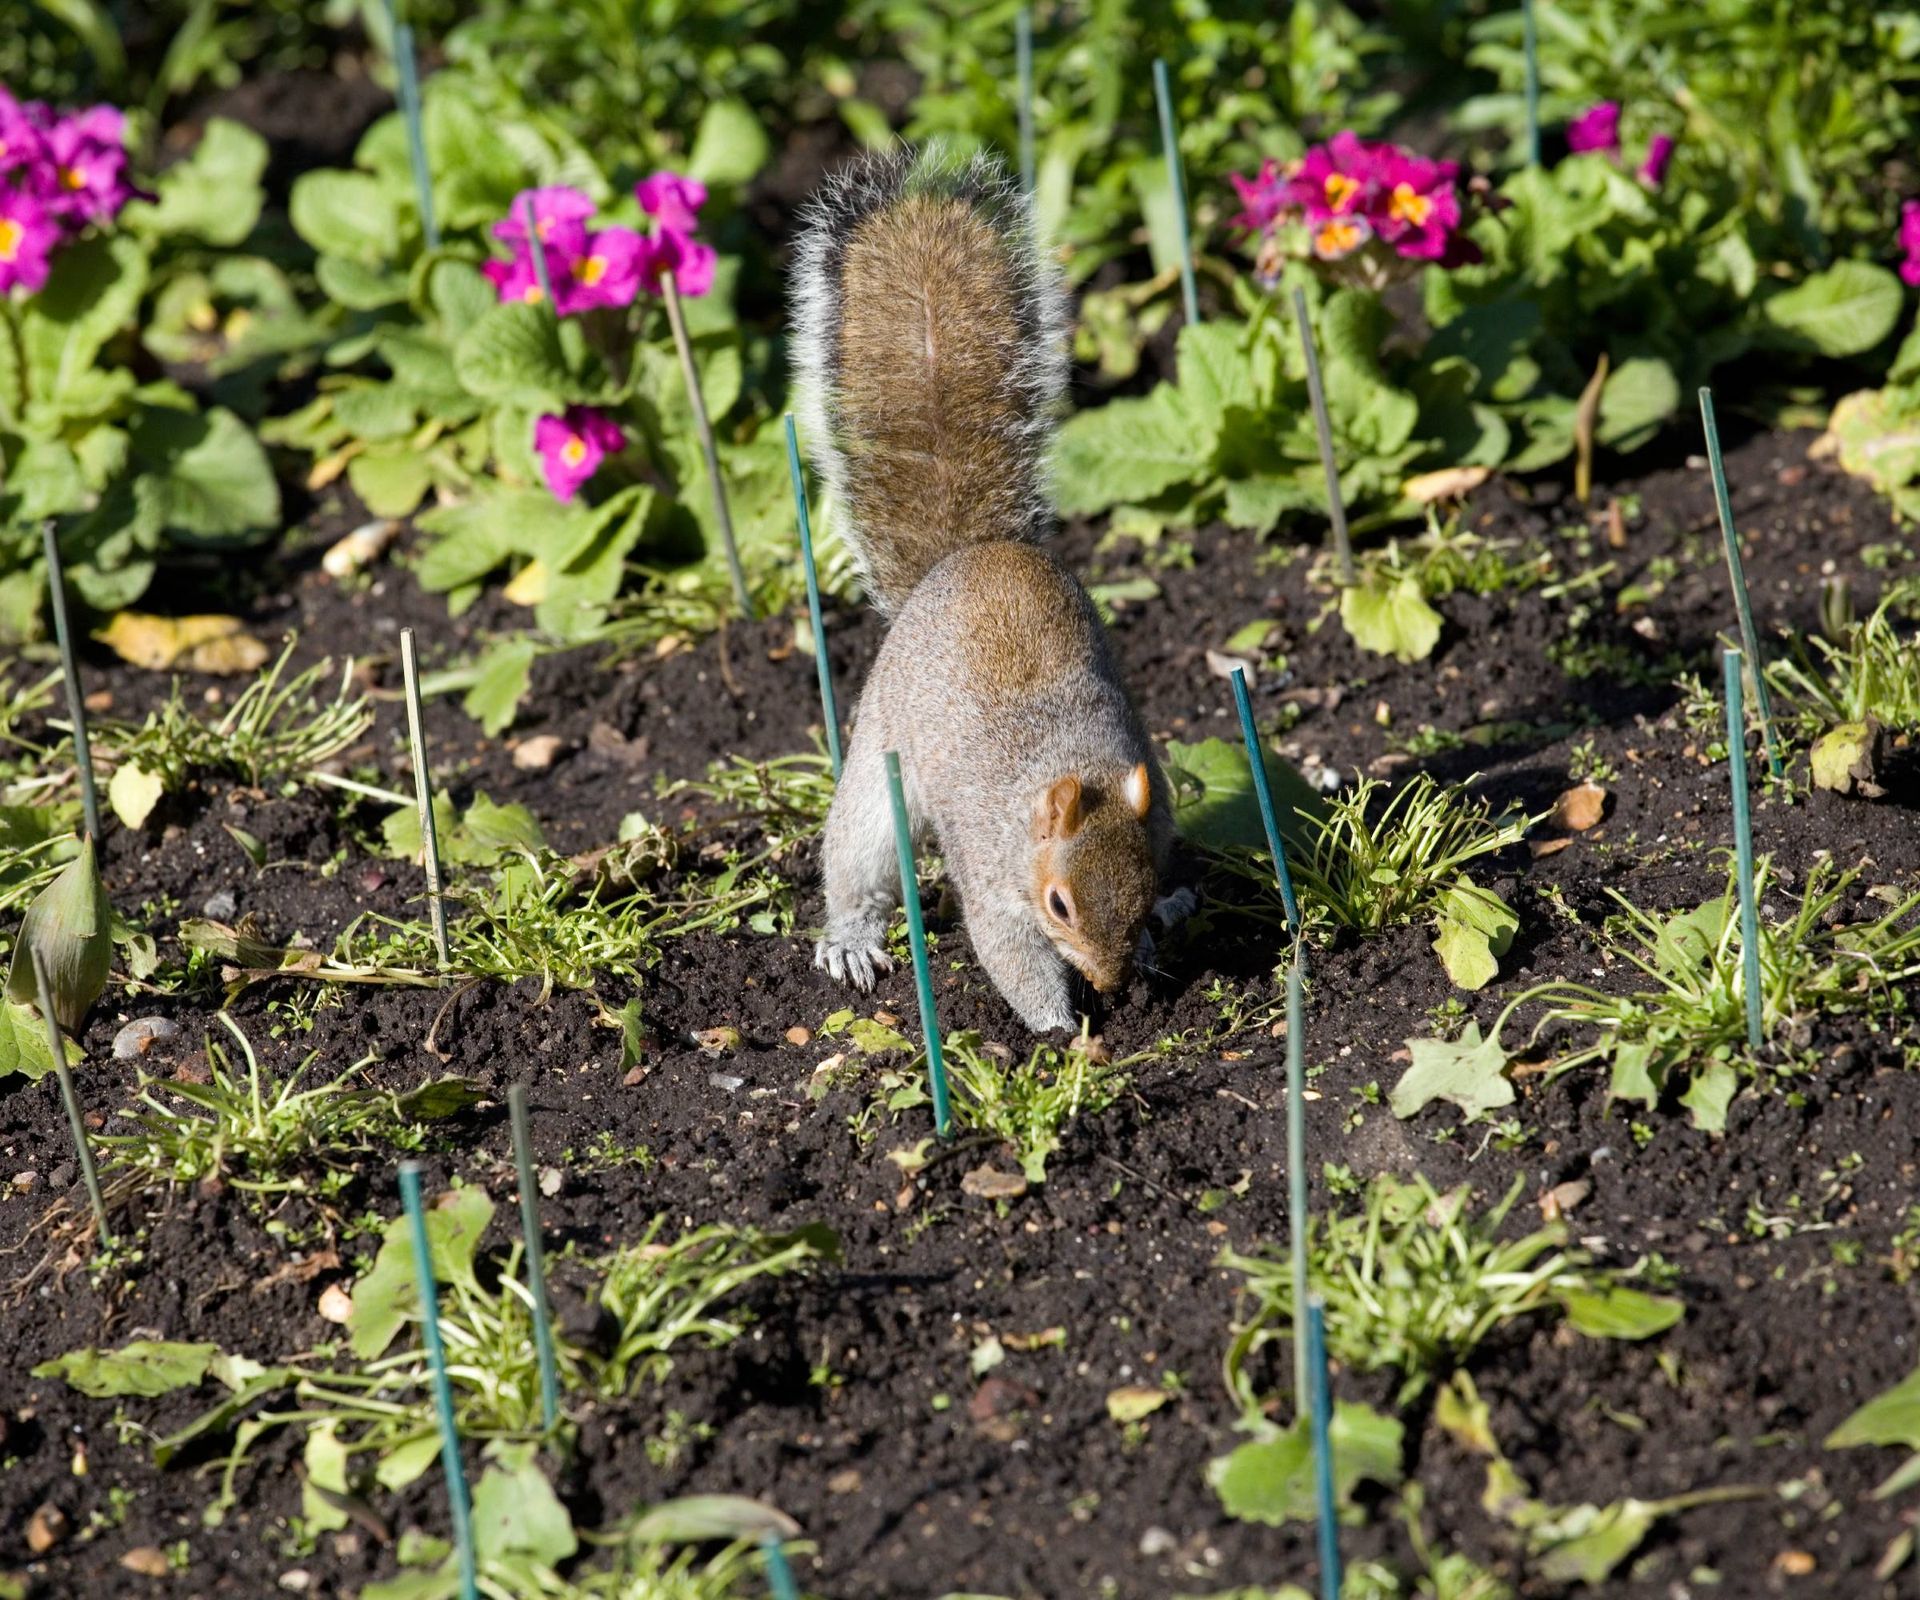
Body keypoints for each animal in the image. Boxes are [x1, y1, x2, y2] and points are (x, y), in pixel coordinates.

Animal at [791, 147, 1189, 1034]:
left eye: (1141, 886)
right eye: (1059, 904)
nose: (1110, 983)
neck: (1067, 764)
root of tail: (969, 556)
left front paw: (1152, 946)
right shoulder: (988, 868)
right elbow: (1010, 955)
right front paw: (1059, 1029)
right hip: (877, 768)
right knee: (857, 857)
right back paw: (851, 938)